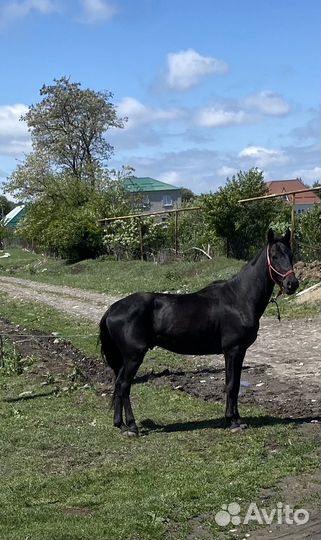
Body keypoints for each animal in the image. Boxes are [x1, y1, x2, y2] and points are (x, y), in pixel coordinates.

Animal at [99, 228, 298, 434]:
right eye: (274, 256)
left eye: (291, 255)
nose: (293, 284)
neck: (239, 298)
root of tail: (112, 309)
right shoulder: (233, 350)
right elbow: (231, 385)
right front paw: (233, 421)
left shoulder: (238, 352)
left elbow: (234, 385)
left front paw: (235, 419)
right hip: (133, 356)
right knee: (124, 385)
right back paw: (131, 426)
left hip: (125, 358)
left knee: (118, 384)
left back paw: (120, 424)